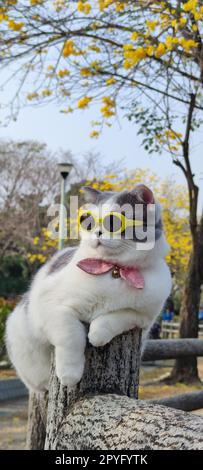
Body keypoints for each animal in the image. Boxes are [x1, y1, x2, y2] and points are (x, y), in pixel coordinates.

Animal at [5, 185, 172, 392]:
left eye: (114, 222)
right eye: (89, 222)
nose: (97, 232)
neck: (114, 270)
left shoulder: (143, 318)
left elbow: (117, 317)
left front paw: (97, 335)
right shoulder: (52, 307)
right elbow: (71, 335)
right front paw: (70, 375)